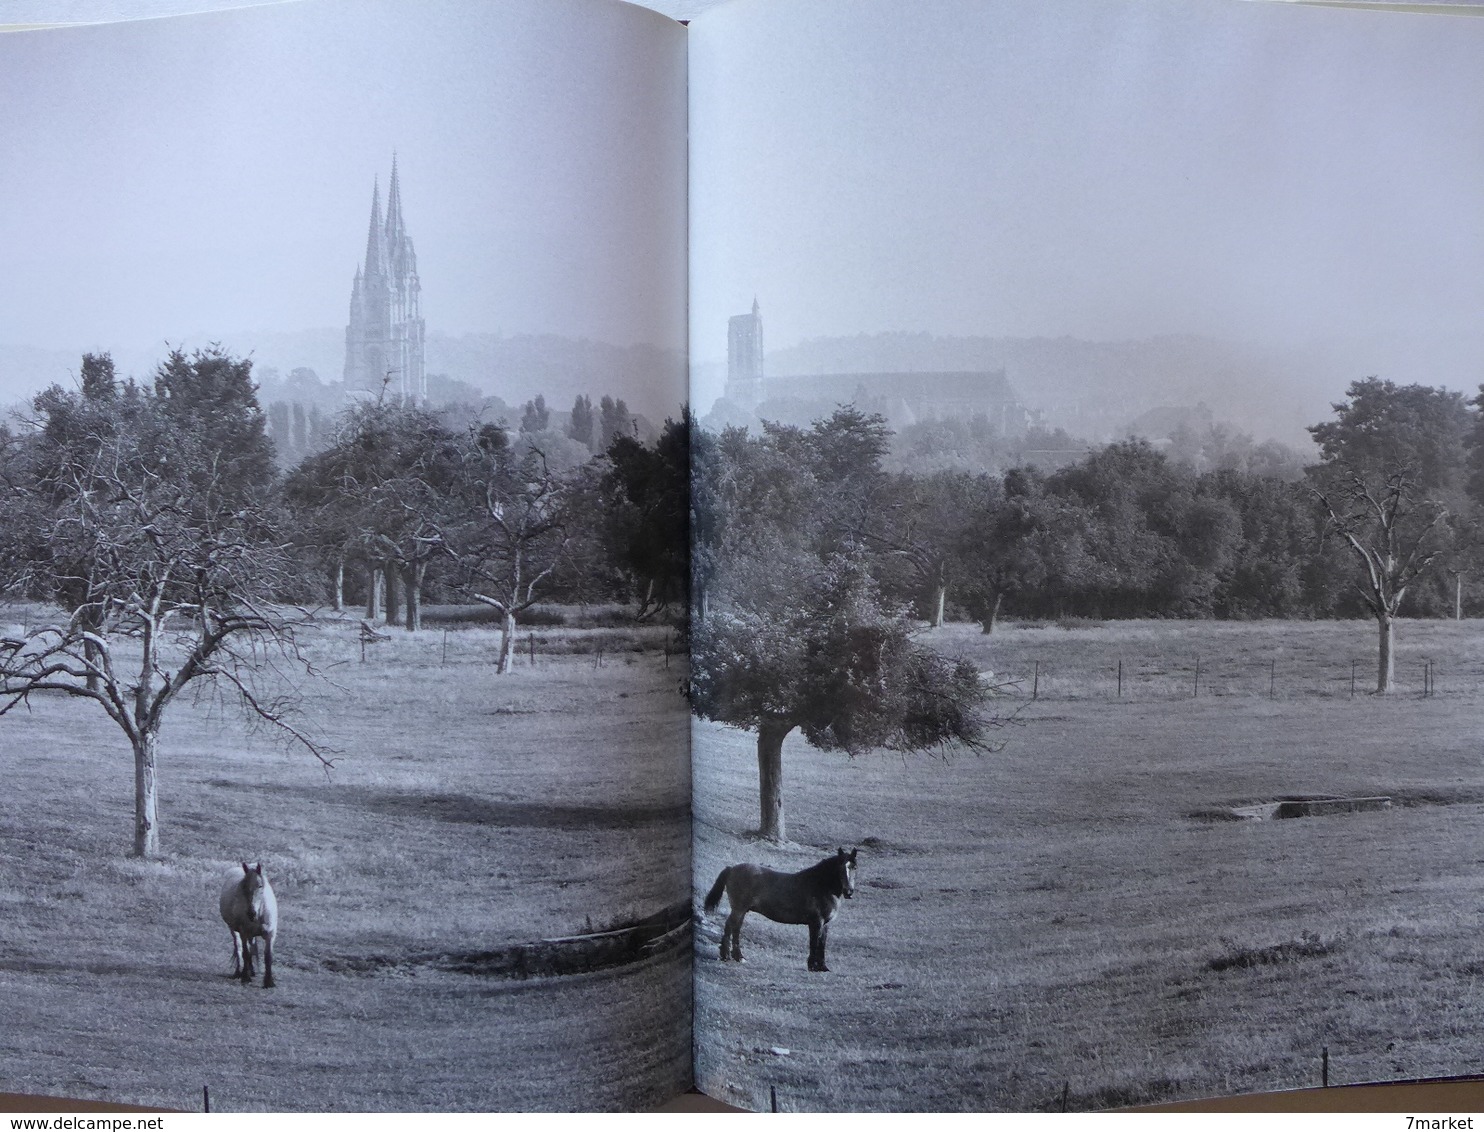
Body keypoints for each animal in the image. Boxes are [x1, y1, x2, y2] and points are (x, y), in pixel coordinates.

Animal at [703, 848, 860, 973]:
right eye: (840, 868)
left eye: (854, 867)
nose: (849, 892)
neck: (821, 886)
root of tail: (732, 869)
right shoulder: (816, 922)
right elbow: (814, 943)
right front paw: (812, 966)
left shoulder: (825, 924)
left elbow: (822, 944)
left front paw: (823, 967)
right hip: (739, 909)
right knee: (731, 926)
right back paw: (729, 956)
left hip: (742, 910)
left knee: (735, 928)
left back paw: (736, 957)